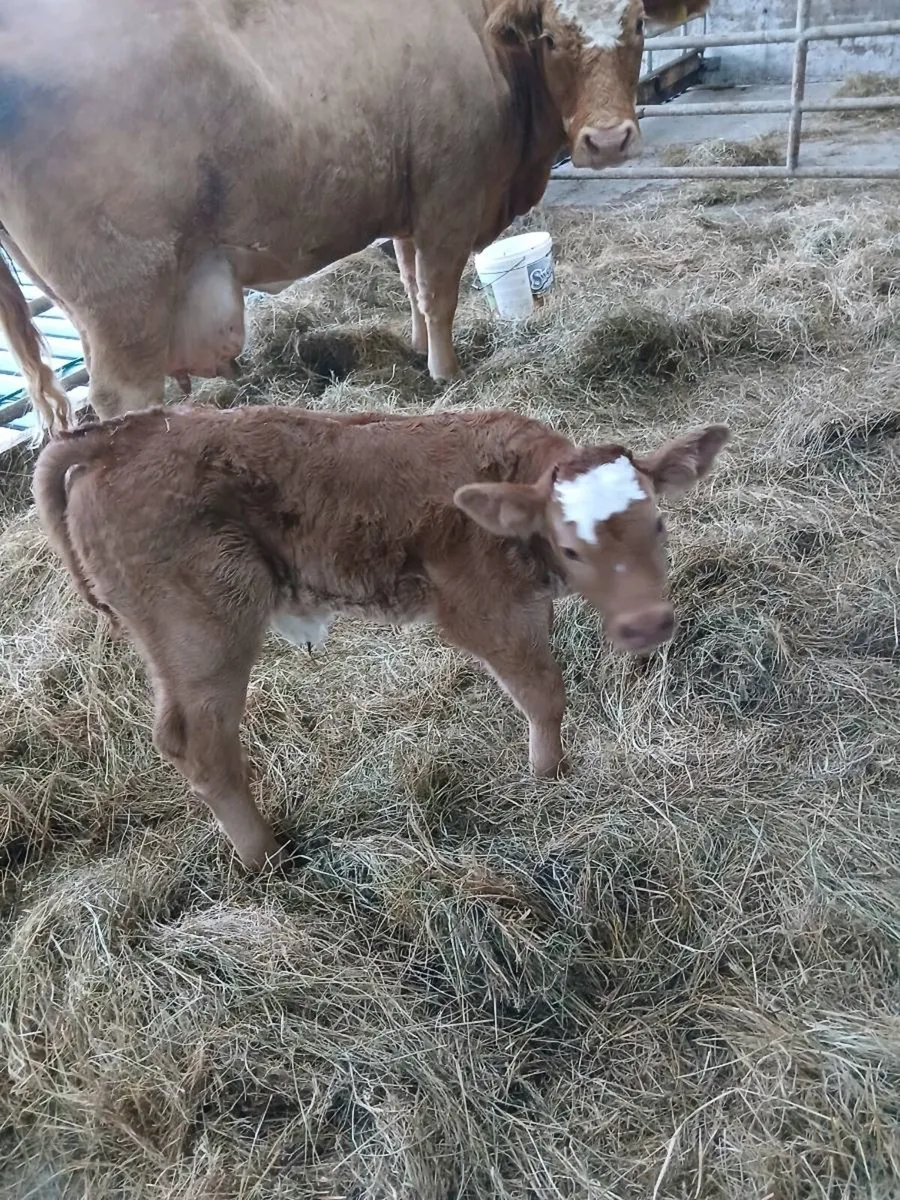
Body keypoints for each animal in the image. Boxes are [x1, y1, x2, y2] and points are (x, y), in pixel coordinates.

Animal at [0, 0, 709, 434]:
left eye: (638, 23)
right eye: (552, 37)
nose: (608, 141)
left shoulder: (408, 203)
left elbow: (410, 284)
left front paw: (417, 350)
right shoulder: (450, 193)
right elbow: (439, 291)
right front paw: (445, 375)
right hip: (123, 299)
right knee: (120, 401)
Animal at [33, 404, 729, 869]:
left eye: (658, 523)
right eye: (571, 547)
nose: (646, 624)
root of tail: (119, 434)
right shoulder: (484, 610)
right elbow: (543, 694)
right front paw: (547, 776)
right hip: (204, 627)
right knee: (200, 745)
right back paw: (268, 858)